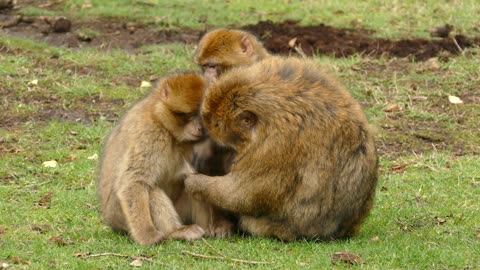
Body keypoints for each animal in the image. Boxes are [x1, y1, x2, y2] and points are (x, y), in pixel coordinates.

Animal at [97, 71, 232, 245]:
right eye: (188, 115)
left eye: (201, 115)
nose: (200, 128)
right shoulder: (148, 134)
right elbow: (134, 182)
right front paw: (146, 235)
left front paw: (219, 222)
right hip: (120, 216)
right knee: (151, 190)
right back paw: (176, 231)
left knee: (192, 182)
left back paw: (211, 226)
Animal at [184, 56, 378, 240]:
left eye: (216, 124)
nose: (207, 130)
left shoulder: (274, 146)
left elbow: (243, 194)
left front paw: (195, 183)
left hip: (276, 227)